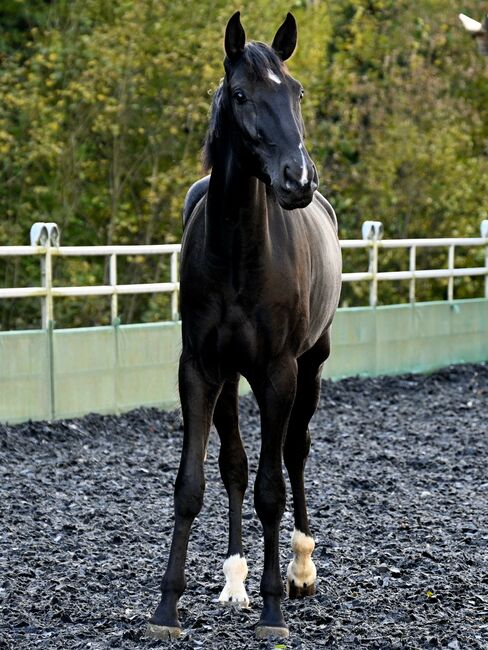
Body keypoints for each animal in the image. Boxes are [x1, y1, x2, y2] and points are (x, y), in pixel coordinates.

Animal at [149, 10, 344, 636]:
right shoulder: (199, 370)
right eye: (240, 95)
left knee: (296, 451)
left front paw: (275, 608)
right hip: (231, 378)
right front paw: (167, 607)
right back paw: (234, 582)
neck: (237, 250)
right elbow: (194, 484)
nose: (296, 180)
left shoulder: (279, 373)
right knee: (234, 464)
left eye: (296, 92)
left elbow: (271, 489)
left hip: (311, 365)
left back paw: (301, 569)